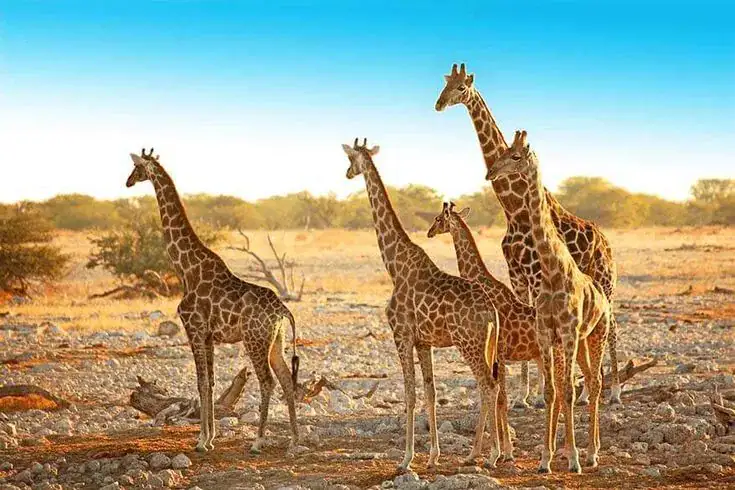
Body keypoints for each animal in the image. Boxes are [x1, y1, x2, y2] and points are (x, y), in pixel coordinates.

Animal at [126, 148, 300, 454]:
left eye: (136, 168)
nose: (127, 182)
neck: (186, 269)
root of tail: (283, 310)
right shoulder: (208, 336)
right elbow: (211, 382)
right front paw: (210, 438)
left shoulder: (193, 329)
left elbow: (201, 382)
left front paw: (200, 441)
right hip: (275, 342)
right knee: (286, 380)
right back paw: (293, 439)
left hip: (254, 340)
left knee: (267, 382)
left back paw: (258, 441)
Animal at [341, 138, 502, 472]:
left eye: (350, 158)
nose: (347, 173)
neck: (393, 264)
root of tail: (492, 312)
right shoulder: (424, 341)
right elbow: (430, 391)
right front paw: (433, 456)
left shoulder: (401, 335)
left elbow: (410, 394)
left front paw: (406, 459)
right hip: (486, 345)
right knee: (489, 384)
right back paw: (481, 453)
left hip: (468, 344)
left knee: (488, 385)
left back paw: (490, 454)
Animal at [426, 201, 543, 461]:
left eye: (438, 219)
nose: (429, 232)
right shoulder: (499, 355)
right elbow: (498, 398)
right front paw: (503, 450)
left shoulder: (498, 352)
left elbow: (499, 398)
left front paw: (500, 451)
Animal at [435, 63, 622, 405]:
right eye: (444, 84)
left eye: (461, 88)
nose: (438, 104)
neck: (514, 210)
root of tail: (605, 241)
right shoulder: (518, 276)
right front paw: (525, 395)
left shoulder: (536, 275)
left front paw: (539, 394)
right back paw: (586, 391)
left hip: (606, 280)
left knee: (612, 326)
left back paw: (613, 391)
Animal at [488, 131, 611, 474]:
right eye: (505, 151)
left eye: (516, 156)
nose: (491, 173)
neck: (554, 270)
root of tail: (602, 297)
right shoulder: (547, 333)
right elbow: (551, 391)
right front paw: (545, 458)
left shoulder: (567, 332)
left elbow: (567, 391)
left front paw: (573, 459)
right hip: (580, 343)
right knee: (588, 380)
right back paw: (586, 451)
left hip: (596, 334)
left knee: (596, 382)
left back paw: (592, 454)